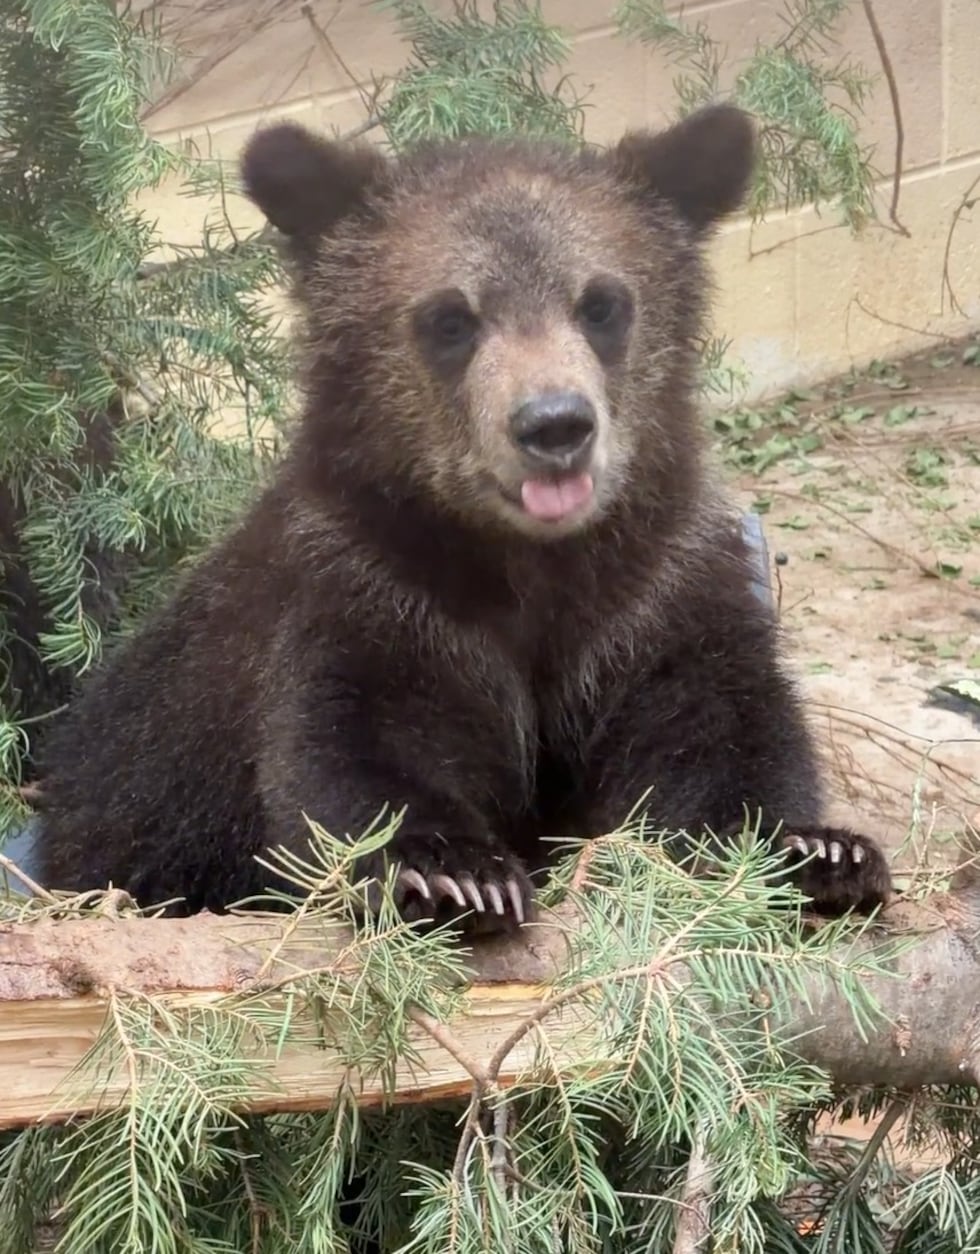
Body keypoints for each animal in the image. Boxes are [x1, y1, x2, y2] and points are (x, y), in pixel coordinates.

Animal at [33, 104, 892, 932]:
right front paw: (454, 873)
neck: (527, 564)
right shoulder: (374, 596)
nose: (554, 426)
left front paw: (821, 853)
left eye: (602, 304)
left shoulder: (652, 593)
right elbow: (360, 748)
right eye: (451, 319)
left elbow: (716, 726)